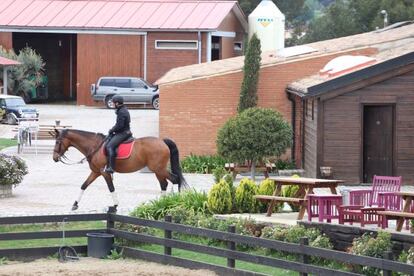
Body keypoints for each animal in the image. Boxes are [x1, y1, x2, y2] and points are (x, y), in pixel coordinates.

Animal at [51, 128, 188, 210]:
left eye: (57, 142)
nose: (55, 158)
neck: (94, 146)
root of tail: (162, 141)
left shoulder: (104, 173)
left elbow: (111, 188)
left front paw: (115, 205)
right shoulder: (95, 172)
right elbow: (84, 185)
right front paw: (75, 204)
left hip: (158, 169)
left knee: (175, 179)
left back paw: (174, 202)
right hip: (158, 170)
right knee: (164, 184)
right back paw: (162, 203)